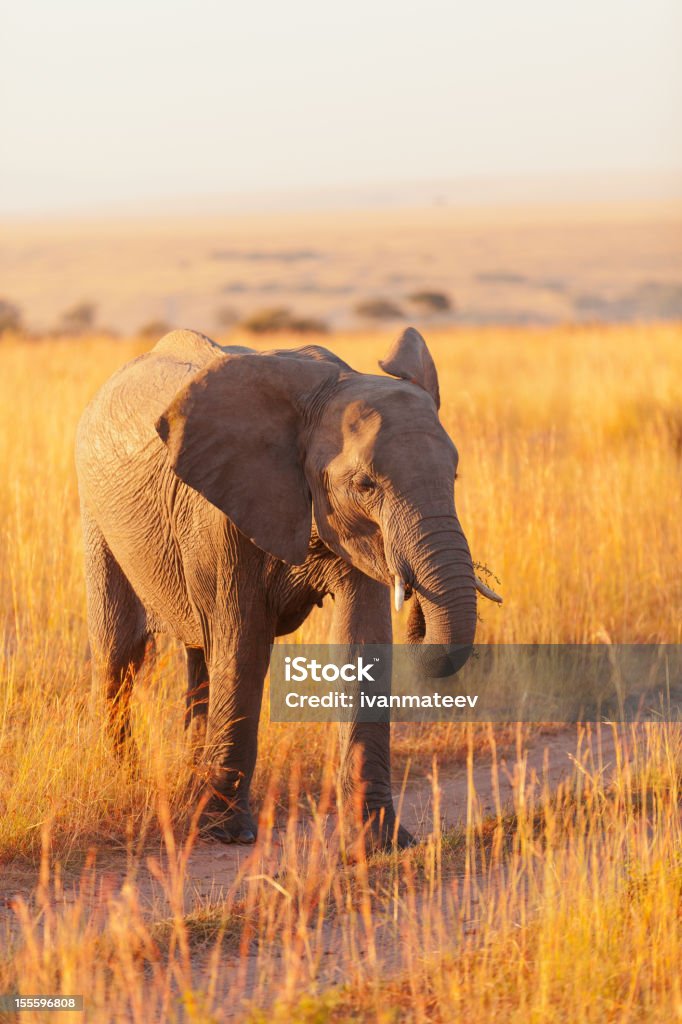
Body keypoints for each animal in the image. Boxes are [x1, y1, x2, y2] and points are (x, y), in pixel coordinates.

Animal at [75, 325, 499, 847]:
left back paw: (190, 779)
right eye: (365, 485)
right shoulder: (221, 516)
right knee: (120, 654)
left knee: (198, 653)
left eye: (454, 474)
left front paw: (381, 843)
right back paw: (125, 777)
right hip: (97, 519)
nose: (416, 600)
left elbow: (361, 643)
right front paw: (226, 834)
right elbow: (243, 646)